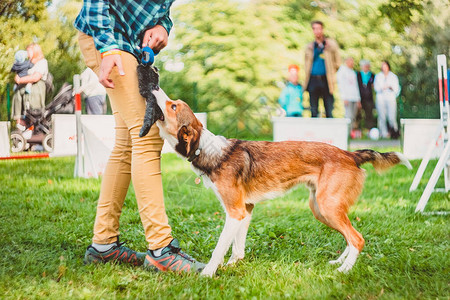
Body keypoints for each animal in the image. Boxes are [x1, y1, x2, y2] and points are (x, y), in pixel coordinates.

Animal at [150, 87, 412, 276]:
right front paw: (233, 266)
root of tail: (350, 154)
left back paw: (345, 269)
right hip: (321, 208)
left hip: (327, 206)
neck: (208, 150)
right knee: (350, 238)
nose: (153, 86)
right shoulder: (246, 210)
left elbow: (219, 249)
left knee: (357, 239)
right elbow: (237, 248)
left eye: (173, 105)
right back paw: (340, 261)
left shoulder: (235, 211)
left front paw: (207, 274)